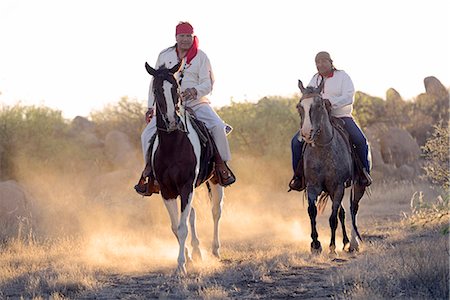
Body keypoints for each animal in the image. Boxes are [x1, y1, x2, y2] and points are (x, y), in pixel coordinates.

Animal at [146, 62, 223, 276]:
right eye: (156, 90)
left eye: (176, 88)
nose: (172, 120)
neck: (173, 145)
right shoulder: (167, 190)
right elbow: (176, 226)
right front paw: (187, 258)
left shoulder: (187, 185)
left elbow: (182, 227)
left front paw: (181, 264)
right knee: (193, 215)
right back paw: (196, 251)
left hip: (215, 181)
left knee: (216, 211)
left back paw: (215, 249)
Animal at [298, 80, 368, 255]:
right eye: (299, 106)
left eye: (319, 105)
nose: (306, 133)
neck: (323, 149)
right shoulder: (313, 186)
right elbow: (312, 212)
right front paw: (315, 244)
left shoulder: (338, 187)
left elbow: (332, 218)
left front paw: (331, 247)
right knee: (342, 212)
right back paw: (346, 242)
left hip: (357, 186)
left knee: (353, 209)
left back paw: (354, 243)